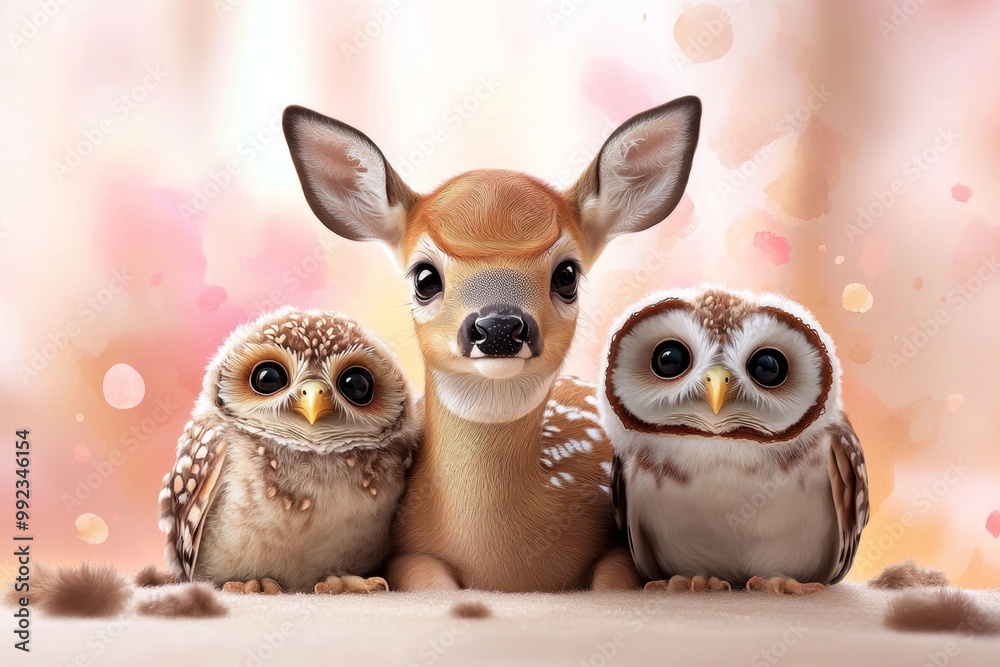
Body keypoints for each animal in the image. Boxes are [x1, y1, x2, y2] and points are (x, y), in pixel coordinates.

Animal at [281, 96, 701, 591]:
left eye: (567, 275)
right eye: (424, 277)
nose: (499, 327)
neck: (502, 562)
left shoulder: (615, 542)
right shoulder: (405, 552)